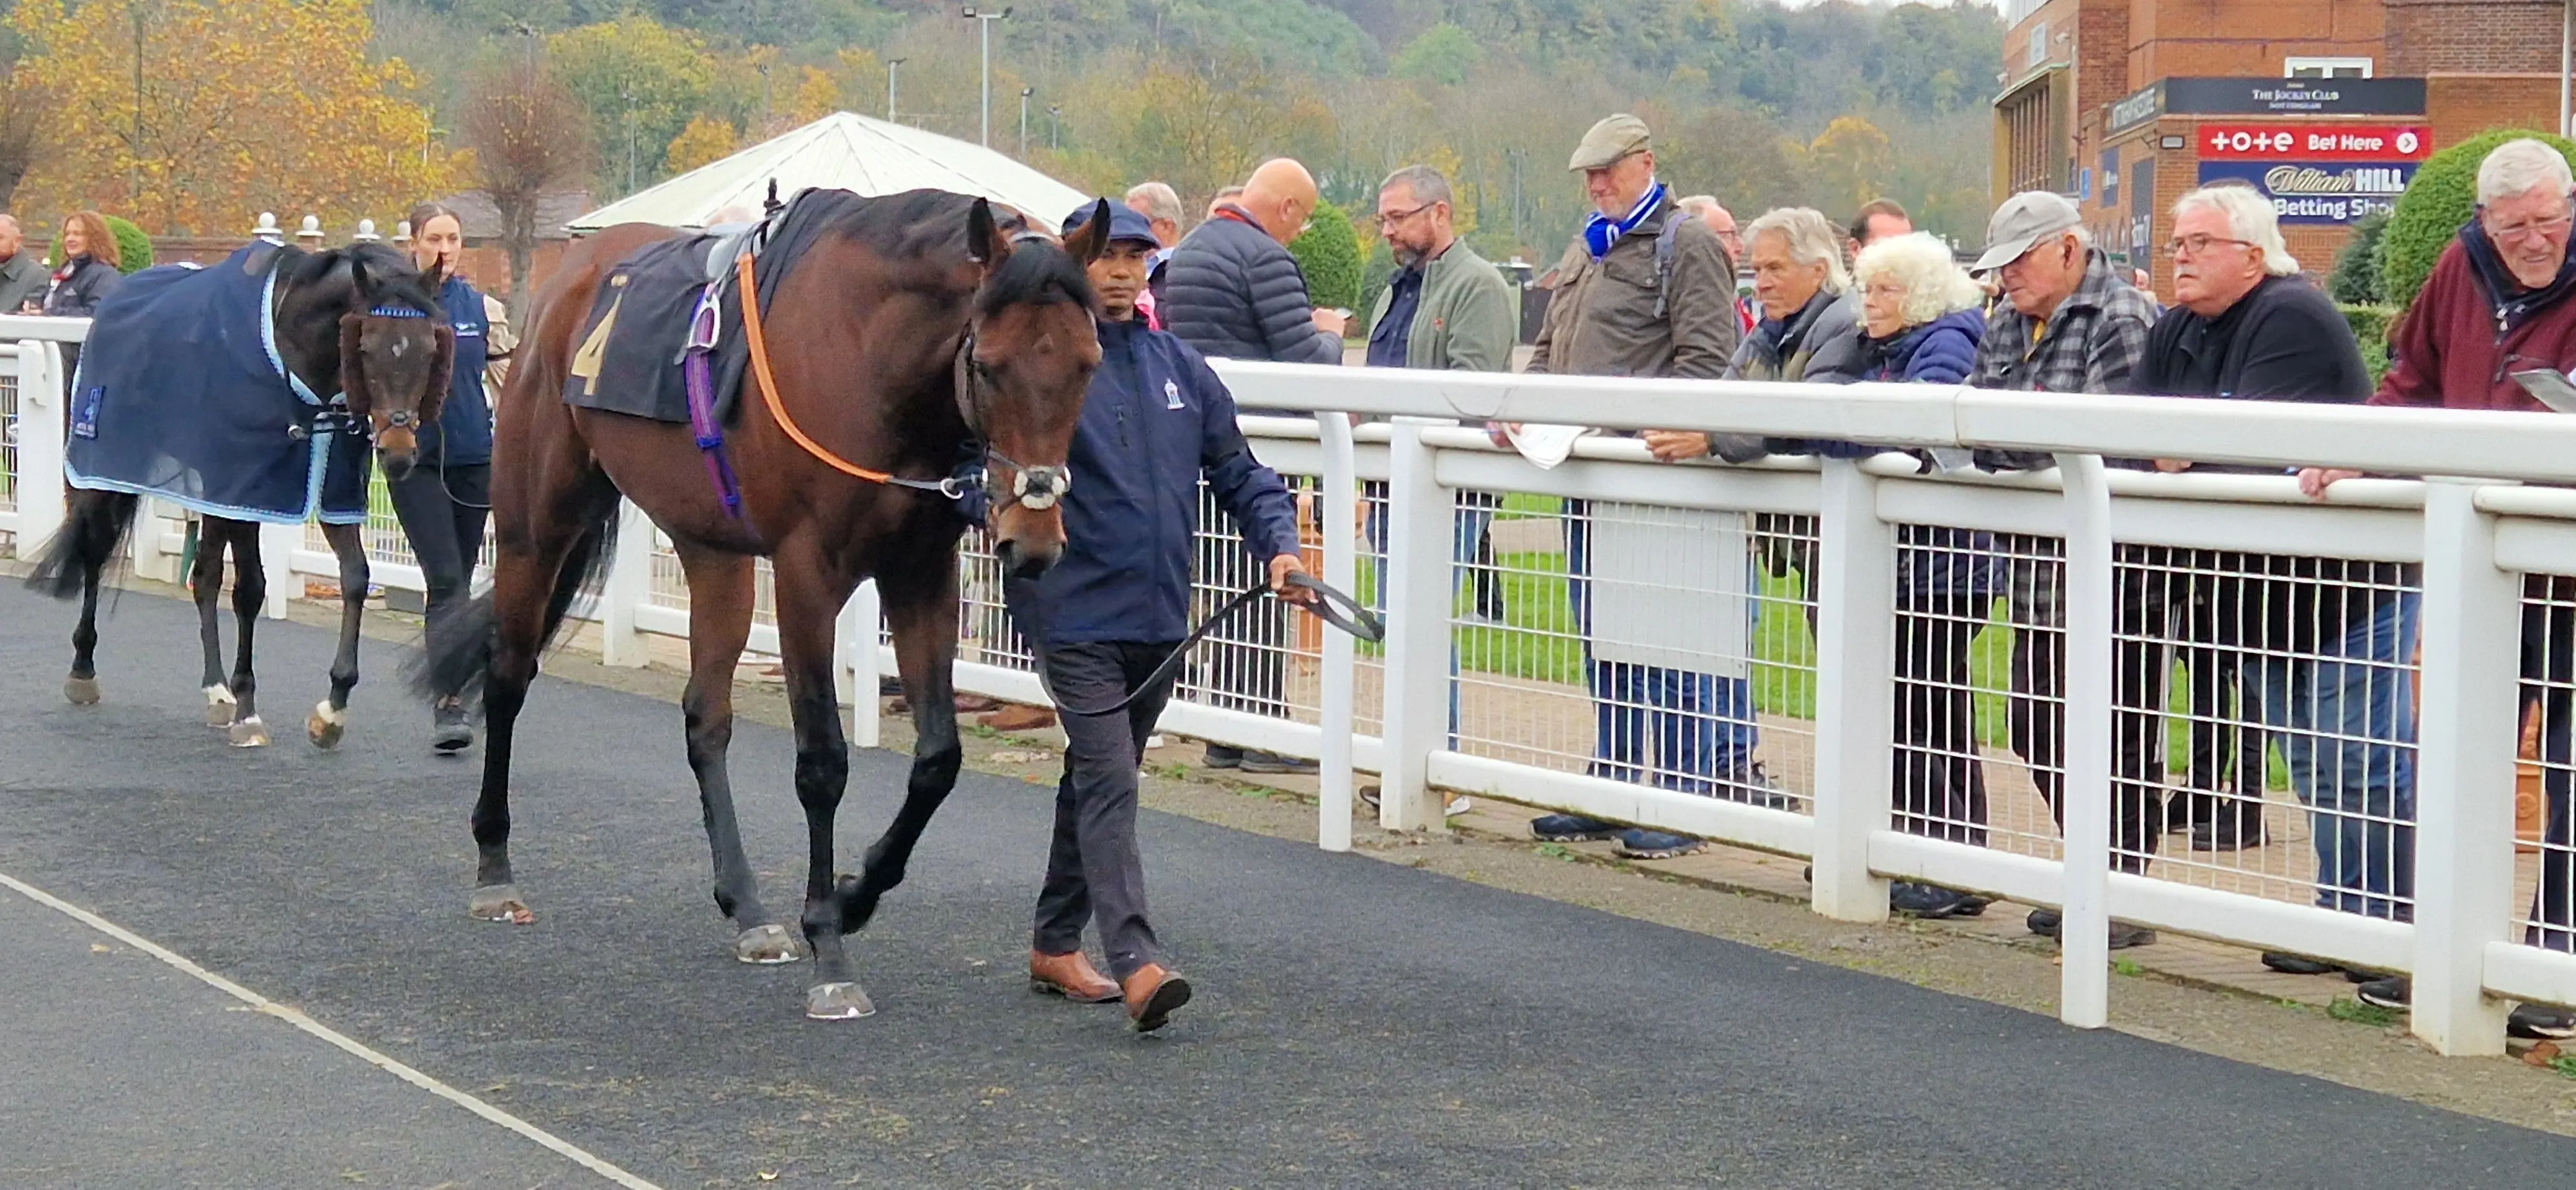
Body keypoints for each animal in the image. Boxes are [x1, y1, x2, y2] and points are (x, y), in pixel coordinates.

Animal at [26, 243, 459, 752]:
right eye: (366, 347)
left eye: (431, 348)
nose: (398, 452)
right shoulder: (246, 491)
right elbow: (251, 589)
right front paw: (249, 709)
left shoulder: (323, 486)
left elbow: (355, 577)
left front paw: (332, 707)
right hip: (107, 470)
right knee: (96, 553)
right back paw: (84, 670)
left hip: (208, 486)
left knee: (204, 576)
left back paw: (216, 690)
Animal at [412, 191, 1108, 1020]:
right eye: (989, 365)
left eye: (1088, 363)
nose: (1033, 540)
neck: (868, 352)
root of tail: (568, 277)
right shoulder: (809, 575)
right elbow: (822, 765)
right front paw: (830, 946)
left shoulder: (921, 573)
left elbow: (939, 759)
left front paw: (856, 893)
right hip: (534, 525)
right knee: (509, 679)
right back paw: (495, 869)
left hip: (712, 550)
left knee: (705, 718)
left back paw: (745, 905)